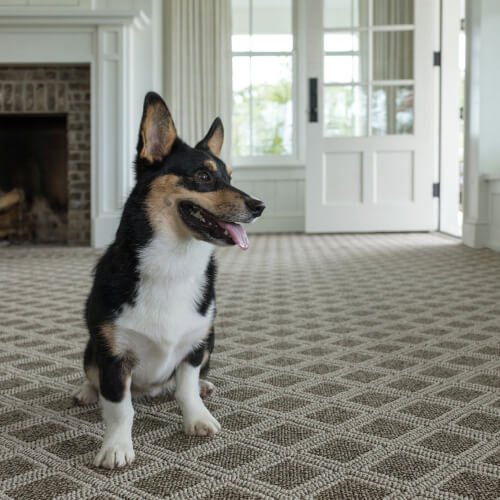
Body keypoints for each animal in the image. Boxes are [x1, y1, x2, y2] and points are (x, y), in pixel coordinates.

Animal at [73, 93, 266, 468]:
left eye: (230, 176)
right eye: (203, 175)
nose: (259, 205)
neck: (175, 262)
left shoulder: (195, 345)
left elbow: (186, 388)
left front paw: (198, 418)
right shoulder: (113, 355)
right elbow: (119, 408)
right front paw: (116, 448)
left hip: (211, 340)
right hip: (91, 347)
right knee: (92, 375)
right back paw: (86, 391)